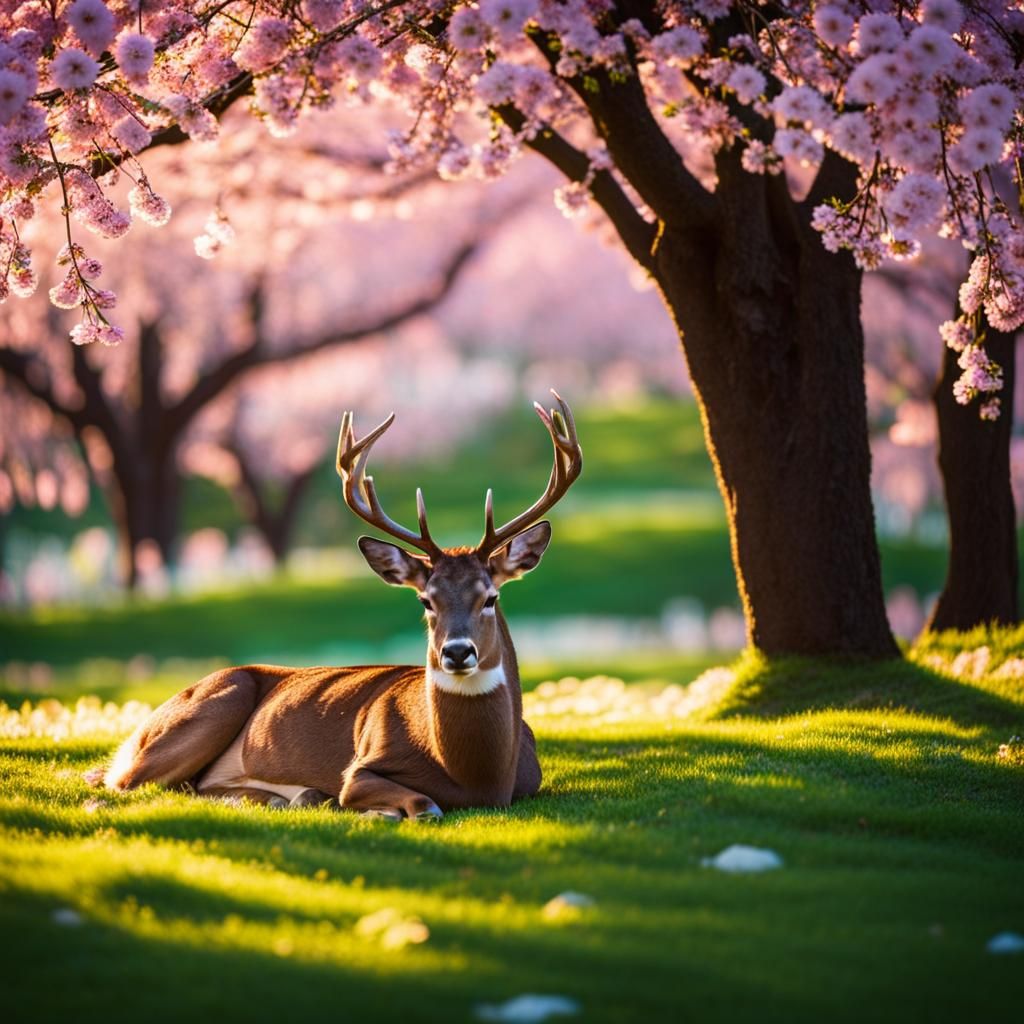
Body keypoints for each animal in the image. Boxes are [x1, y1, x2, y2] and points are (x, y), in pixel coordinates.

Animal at [95, 392, 582, 821]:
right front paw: (380, 811)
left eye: (491, 597)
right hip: (209, 706)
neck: (479, 777)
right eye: (426, 600)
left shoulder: (532, 779)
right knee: (127, 783)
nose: (457, 652)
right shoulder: (360, 768)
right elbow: (424, 804)